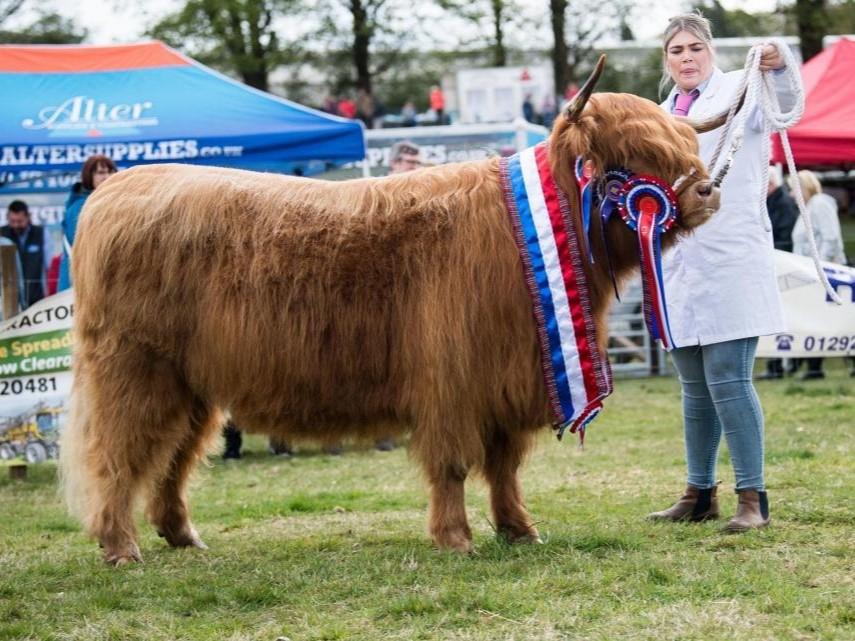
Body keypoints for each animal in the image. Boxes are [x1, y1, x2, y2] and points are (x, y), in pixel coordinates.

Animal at [61, 60, 724, 564]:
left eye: (683, 144)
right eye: (631, 153)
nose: (707, 190)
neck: (527, 232)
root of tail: (115, 189)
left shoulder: (510, 380)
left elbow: (504, 466)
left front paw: (519, 529)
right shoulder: (454, 380)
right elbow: (454, 463)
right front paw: (456, 539)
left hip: (191, 385)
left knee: (172, 459)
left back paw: (182, 536)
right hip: (134, 372)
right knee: (118, 455)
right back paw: (121, 547)